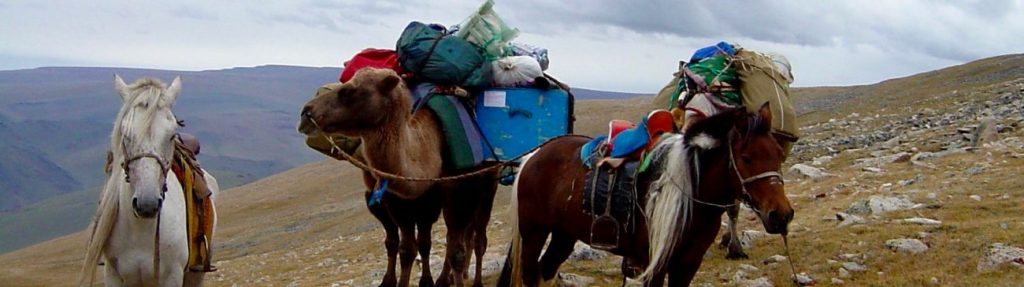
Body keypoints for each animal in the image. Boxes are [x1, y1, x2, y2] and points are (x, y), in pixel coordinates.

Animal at [81, 75, 220, 284]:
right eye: (125, 135)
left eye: (171, 135)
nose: (147, 205)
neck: (140, 229)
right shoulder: (113, 276)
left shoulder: (172, 276)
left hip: (195, 274)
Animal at [299, 68, 497, 284]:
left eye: (349, 90)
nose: (306, 113)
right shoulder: (401, 202)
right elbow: (407, 249)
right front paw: (404, 281)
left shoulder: (459, 194)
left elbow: (455, 252)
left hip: (486, 188)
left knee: (477, 238)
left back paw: (470, 279)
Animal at [497, 102, 790, 284]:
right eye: (746, 157)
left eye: (778, 154)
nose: (782, 215)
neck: (690, 193)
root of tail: (533, 155)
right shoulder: (655, 264)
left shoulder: (688, 264)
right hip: (534, 233)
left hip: (563, 235)